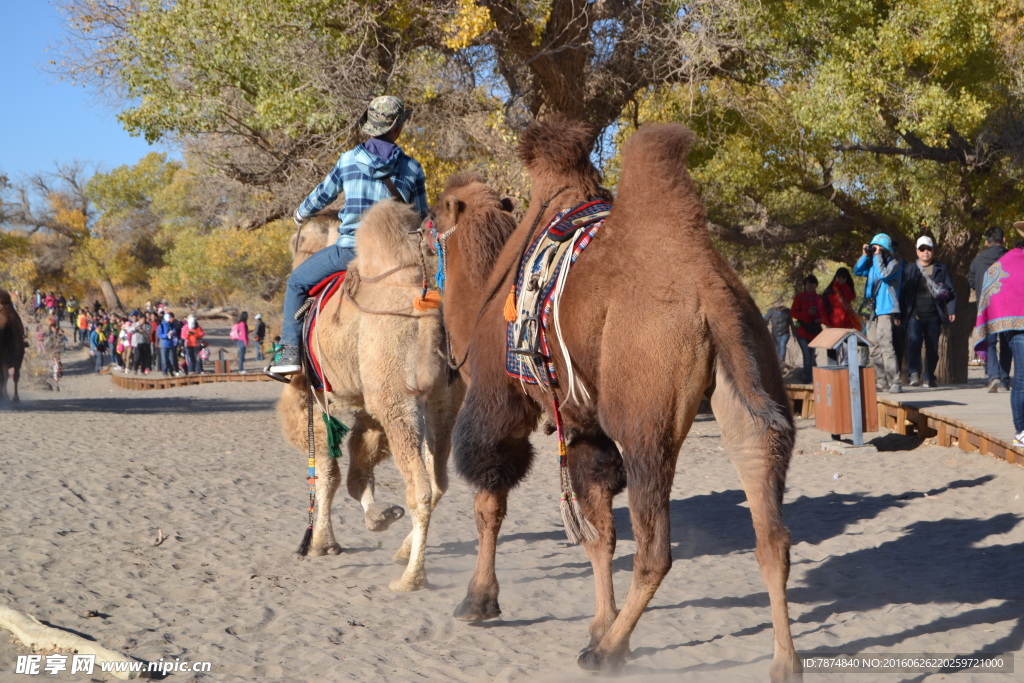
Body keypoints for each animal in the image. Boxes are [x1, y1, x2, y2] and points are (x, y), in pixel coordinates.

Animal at [274, 198, 462, 593]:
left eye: (298, 242)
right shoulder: (366, 404)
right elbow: (358, 466)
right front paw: (380, 516)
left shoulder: (311, 392)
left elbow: (326, 471)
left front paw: (321, 543)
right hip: (442, 403)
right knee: (438, 481)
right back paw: (403, 552)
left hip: (397, 400)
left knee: (421, 490)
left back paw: (410, 578)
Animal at [428, 120, 802, 679]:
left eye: (432, 214)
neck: (482, 302)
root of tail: (710, 289)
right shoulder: (583, 423)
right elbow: (599, 531)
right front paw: (598, 623)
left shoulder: (501, 399)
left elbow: (489, 500)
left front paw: (479, 601)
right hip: (751, 377)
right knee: (770, 527)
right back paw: (784, 661)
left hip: (647, 416)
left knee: (656, 548)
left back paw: (607, 653)